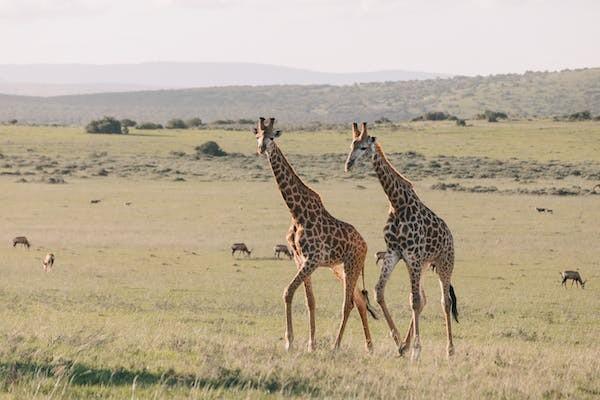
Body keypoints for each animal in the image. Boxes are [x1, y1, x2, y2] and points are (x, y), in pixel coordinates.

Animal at [252, 117, 376, 352]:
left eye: (272, 137)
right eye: (258, 136)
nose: (261, 149)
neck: (296, 212)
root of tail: (365, 245)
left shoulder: (313, 258)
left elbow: (288, 292)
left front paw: (290, 342)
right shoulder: (300, 259)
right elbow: (310, 300)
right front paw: (310, 343)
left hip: (352, 265)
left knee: (348, 304)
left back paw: (337, 346)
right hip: (341, 269)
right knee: (359, 301)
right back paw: (369, 347)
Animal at [344, 122, 458, 360]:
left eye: (364, 147)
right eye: (351, 145)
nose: (348, 165)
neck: (397, 203)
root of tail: (450, 236)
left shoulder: (412, 256)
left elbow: (414, 301)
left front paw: (416, 350)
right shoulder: (395, 253)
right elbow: (379, 291)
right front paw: (398, 342)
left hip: (444, 263)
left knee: (445, 301)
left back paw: (450, 350)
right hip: (423, 265)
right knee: (423, 298)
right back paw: (407, 344)